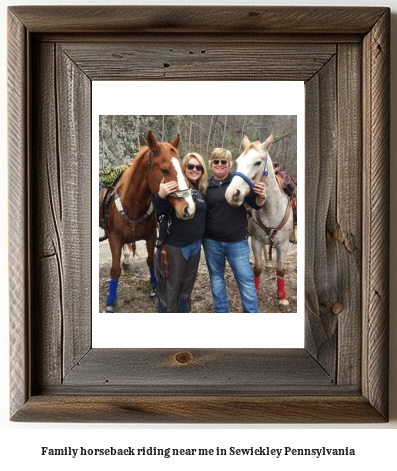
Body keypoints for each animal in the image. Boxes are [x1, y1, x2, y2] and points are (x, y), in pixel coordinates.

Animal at [99, 129, 195, 314]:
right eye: (164, 170)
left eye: (183, 169)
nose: (189, 208)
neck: (132, 206)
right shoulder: (114, 238)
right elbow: (115, 270)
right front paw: (110, 301)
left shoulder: (151, 236)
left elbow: (151, 261)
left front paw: (154, 290)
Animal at [224, 135, 292, 308]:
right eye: (238, 161)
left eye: (258, 162)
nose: (231, 193)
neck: (272, 210)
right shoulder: (255, 241)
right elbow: (257, 268)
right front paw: (255, 292)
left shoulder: (284, 245)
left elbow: (280, 270)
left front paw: (282, 297)